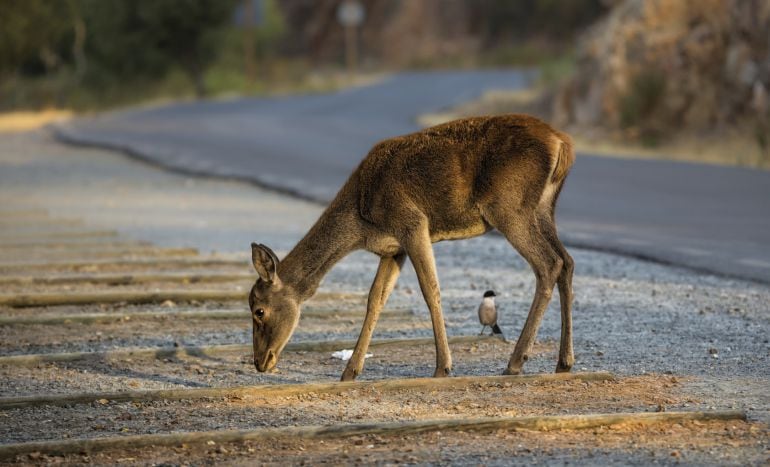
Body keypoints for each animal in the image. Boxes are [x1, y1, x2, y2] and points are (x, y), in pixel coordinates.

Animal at [249, 113, 572, 380]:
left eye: (259, 311)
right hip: (544, 207)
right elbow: (375, 299)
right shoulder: (393, 249)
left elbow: (430, 289)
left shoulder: (412, 223)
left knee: (548, 264)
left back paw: (516, 362)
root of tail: (563, 144)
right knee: (567, 261)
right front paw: (350, 371)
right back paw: (564, 361)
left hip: (508, 206)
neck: (362, 222)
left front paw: (443, 367)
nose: (259, 362)